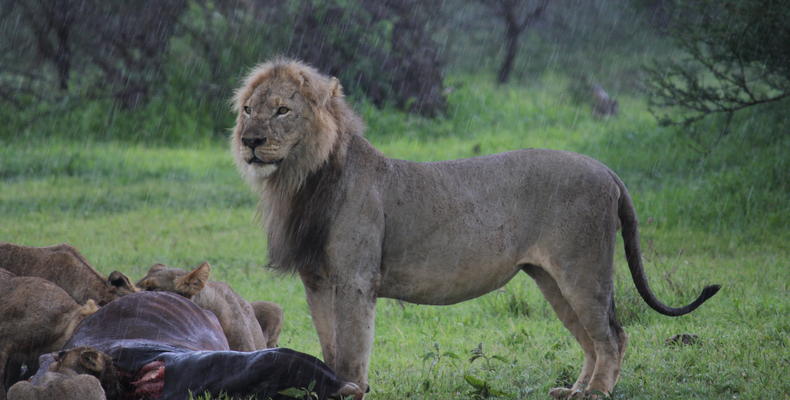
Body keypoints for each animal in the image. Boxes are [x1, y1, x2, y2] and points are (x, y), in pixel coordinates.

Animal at [230, 57, 724, 398]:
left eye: (282, 110)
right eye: (249, 109)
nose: (249, 141)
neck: (302, 181)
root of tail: (607, 171)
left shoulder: (355, 279)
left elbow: (351, 349)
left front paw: (351, 389)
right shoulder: (317, 280)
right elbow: (331, 346)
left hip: (582, 269)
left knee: (613, 336)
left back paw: (597, 393)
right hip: (551, 279)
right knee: (590, 339)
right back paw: (574, 391)